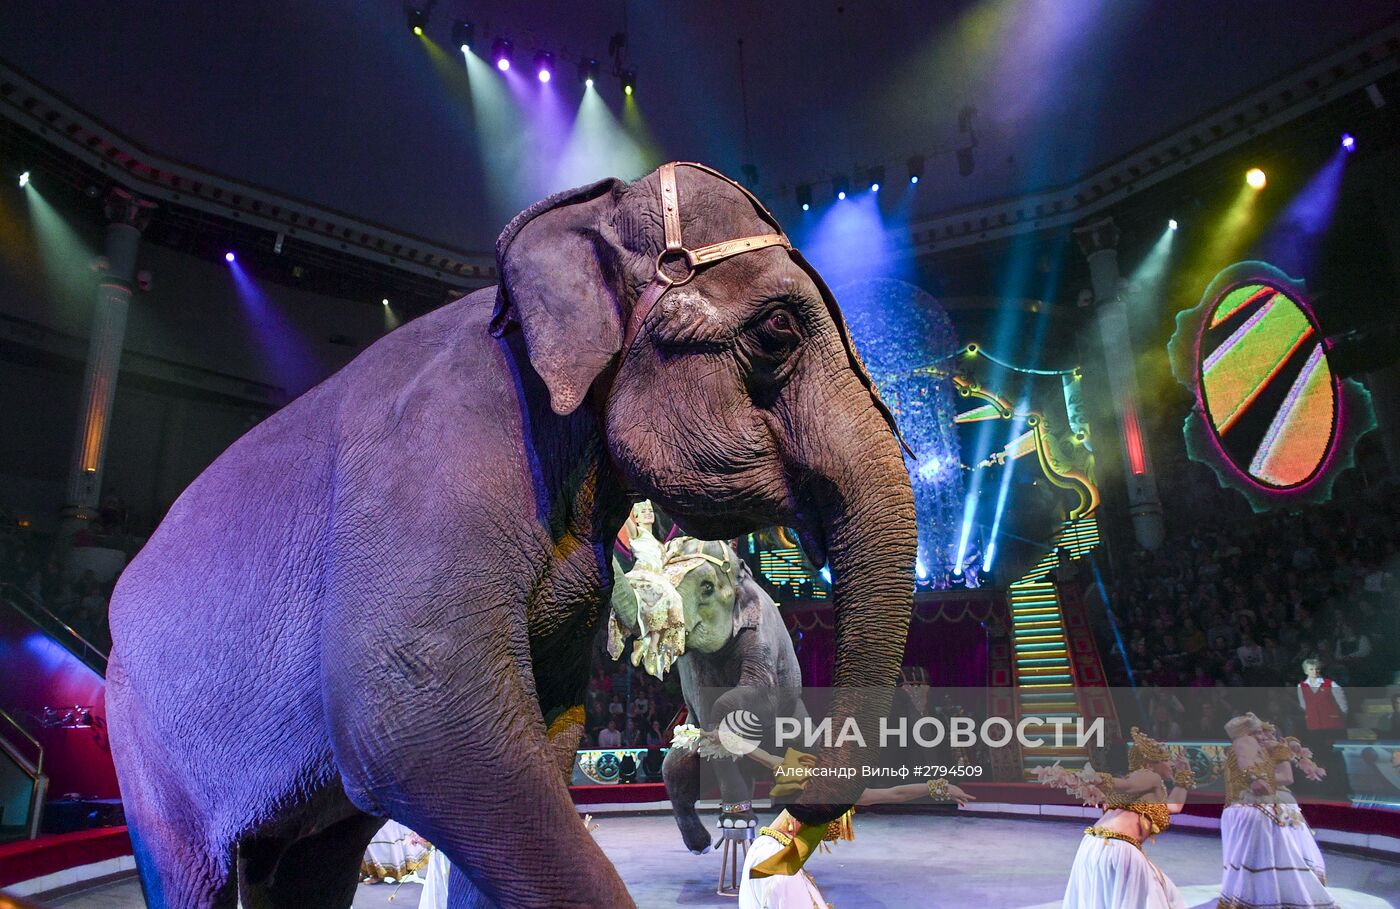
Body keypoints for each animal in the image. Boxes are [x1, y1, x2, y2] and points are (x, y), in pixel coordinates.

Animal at [610, 535, 806, 857]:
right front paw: (737, 822)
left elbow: (762, 694)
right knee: (672, 769)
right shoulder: (694, 665)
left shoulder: (760, 632)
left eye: (707, 587)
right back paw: (703, 842)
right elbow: (704, 704)